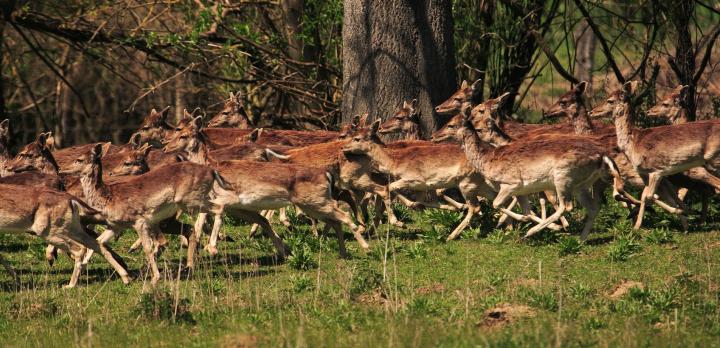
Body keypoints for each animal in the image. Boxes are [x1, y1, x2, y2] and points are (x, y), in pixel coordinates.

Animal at [0, 184, 131, 286]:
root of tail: (71, 199)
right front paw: (17, 279)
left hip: (47, 232)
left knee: (79, 249)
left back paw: (70, 285)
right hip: (74, 230)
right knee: (98, 244)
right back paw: (126, 278)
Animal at [162, 117, 366, 258]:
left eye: (183, 134)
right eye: (176, 131)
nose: (165, 148)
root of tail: (327, 175)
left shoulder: (228, 199)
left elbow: (217, 216)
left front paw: (210, 247)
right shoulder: (237, 207)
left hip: (316, 201)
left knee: (344, 215)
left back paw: (365, 246)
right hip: (313, 204)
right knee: (335, 220)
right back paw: (342, 252)